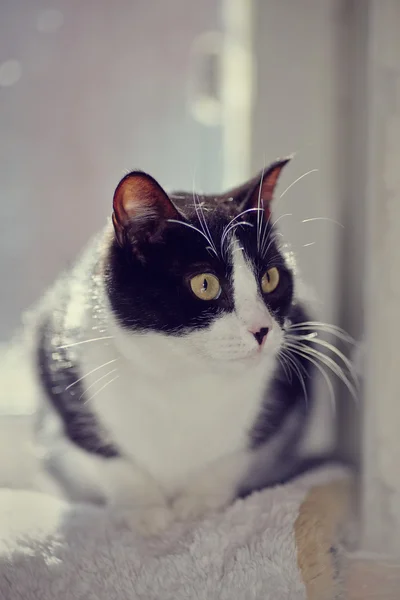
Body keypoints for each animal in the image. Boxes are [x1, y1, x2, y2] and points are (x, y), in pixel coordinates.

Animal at [27, 158, 340, 536]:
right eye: (205, 284)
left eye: (270, 278)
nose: (262, 329)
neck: (183, 373)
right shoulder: (58, 362)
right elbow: (104, 453)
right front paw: (144, 510)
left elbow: (238, 452)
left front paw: (199, 502)